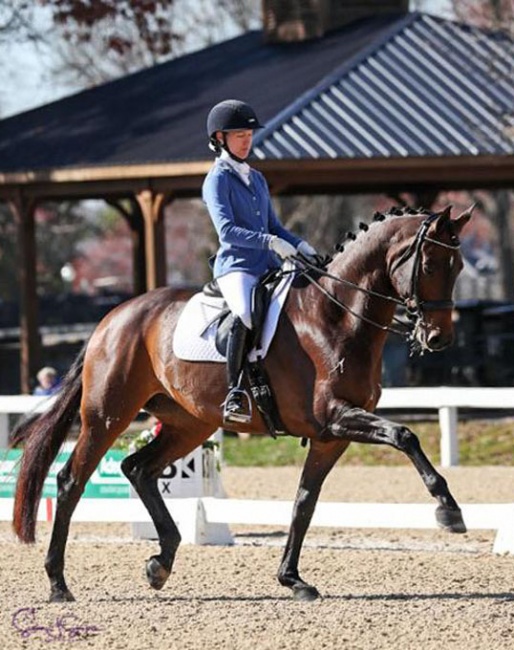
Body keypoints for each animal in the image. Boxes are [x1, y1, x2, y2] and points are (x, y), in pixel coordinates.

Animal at [12, 205, 470, 600]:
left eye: (459, 267)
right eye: (430, 265)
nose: (438, 338)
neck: (335, 318)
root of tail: (111, 319)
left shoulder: (331, 436)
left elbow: (304, 502)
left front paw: (292, 579)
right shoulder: (336, 417)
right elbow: (405, 435)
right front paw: (449, 511)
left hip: (189, 424)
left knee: (138, 468)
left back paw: (161, 562)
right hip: (108, 415)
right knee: (71, 480)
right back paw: (58, 583)